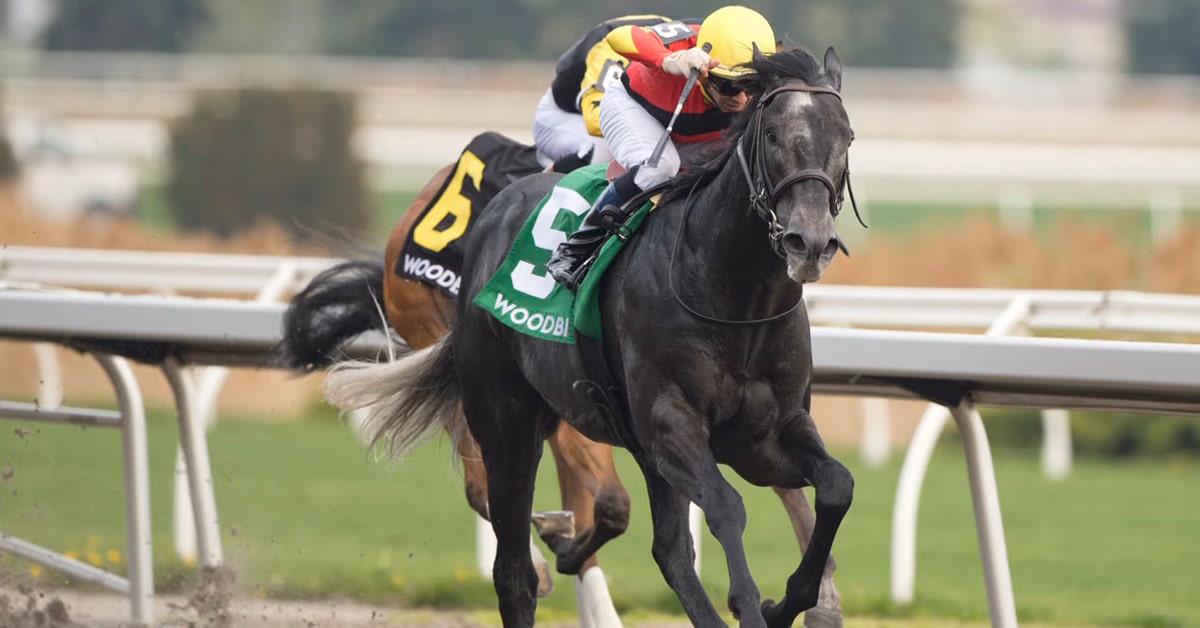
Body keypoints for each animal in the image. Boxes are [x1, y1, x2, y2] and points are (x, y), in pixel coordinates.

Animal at [323, 46, 855, 628]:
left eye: (847, 136)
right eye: (774, 135)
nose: (810, 242)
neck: (733, 294)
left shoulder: (762, 435)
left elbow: (835, 486)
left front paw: (797, 602)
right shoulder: (670, 423)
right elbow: (725, 506)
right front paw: (755, 601)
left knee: (669, 551)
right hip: (507, 417)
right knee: (512, 562)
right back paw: (546, 556)